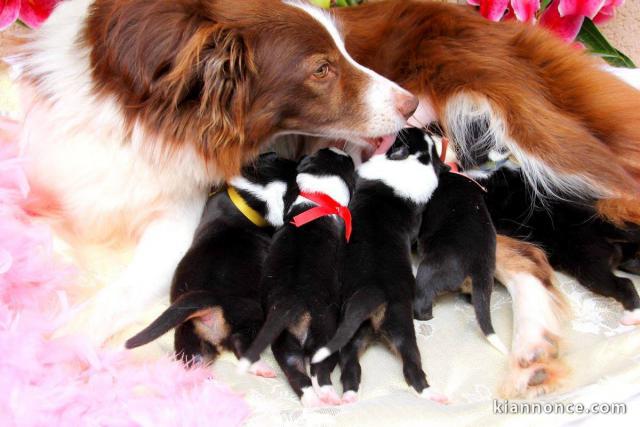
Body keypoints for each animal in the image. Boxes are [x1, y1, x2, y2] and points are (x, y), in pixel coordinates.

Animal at [126, 153, 298, 374]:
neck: (254, 196)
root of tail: (208, 301)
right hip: (250, 312)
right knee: (240, 343)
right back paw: (261, 367)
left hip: (189, 336)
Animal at [238, 149, 356, 410]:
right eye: (349, 163)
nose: (346, 153)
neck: (317, 197)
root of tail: (290, 306)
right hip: (324, 334)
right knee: (318, 371)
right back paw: (328, 395)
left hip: (284, 343)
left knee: (297, 375)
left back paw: (311, 400)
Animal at [312, 134, 448, 404]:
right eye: (427, 141)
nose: (431, 133)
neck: (414, 163)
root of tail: (377, 294)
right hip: (387, 331)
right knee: (404, 367)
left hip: (366, 329)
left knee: (362, 367)